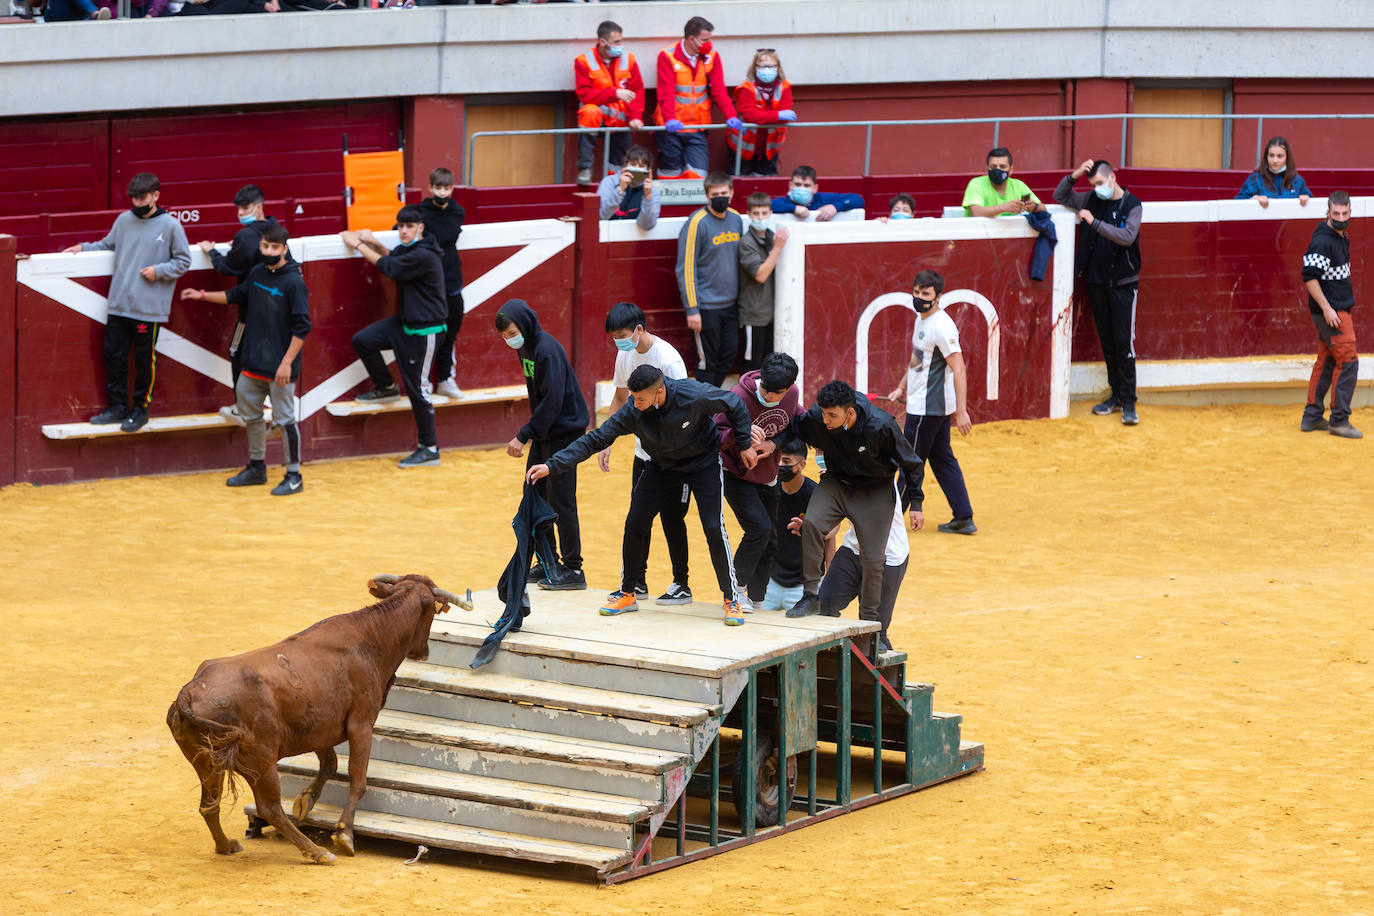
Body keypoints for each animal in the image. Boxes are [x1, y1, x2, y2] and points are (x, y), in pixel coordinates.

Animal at [162, 574, 467, 867]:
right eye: (433, 613)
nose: (423, 652)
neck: (372, 636)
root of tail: (189, 693)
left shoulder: (321, 728)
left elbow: (330, 764)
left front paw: (305, 801)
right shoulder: (361, 724)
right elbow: (357, 777)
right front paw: (344, 835)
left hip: (205, 762)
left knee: (209, 804)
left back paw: (226, 846)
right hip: (261, 761)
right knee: (268, 808)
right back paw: (318, 852)